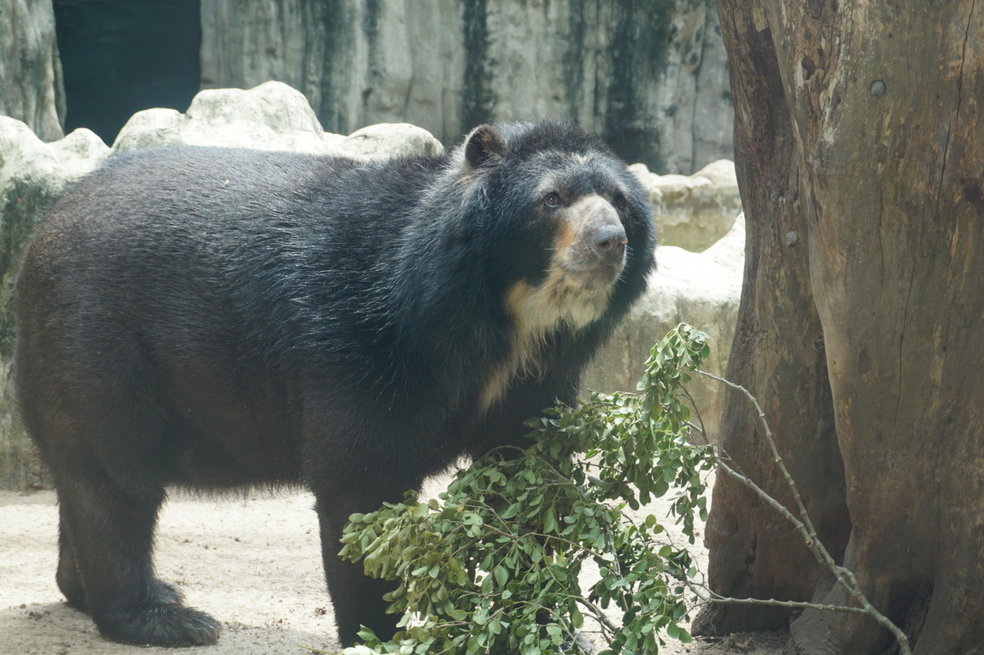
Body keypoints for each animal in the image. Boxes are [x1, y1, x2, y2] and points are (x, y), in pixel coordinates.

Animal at [13, 121, 656, 647]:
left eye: (620, 202)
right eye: (552, 199)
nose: (609, 241)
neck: (502, 323)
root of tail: (39, 233)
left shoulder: (536, 380)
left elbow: (527, 483)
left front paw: (543, 629)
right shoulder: (359, 346)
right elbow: (360, 485)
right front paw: (379, 633)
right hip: (98, 344)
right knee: (117, 479)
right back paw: (167, 618)